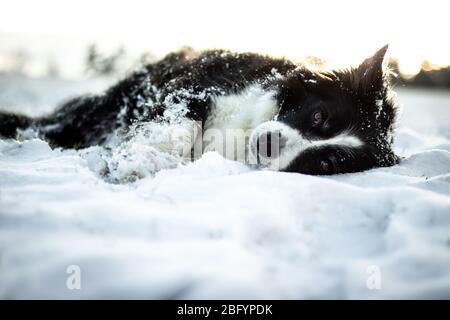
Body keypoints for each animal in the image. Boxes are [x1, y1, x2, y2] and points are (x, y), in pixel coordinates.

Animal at [0, 44, 400, 175]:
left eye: (326, 163)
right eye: (319, 116)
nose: (268, 144)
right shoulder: (194, 86)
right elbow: (181, 129)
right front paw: (135, 164)